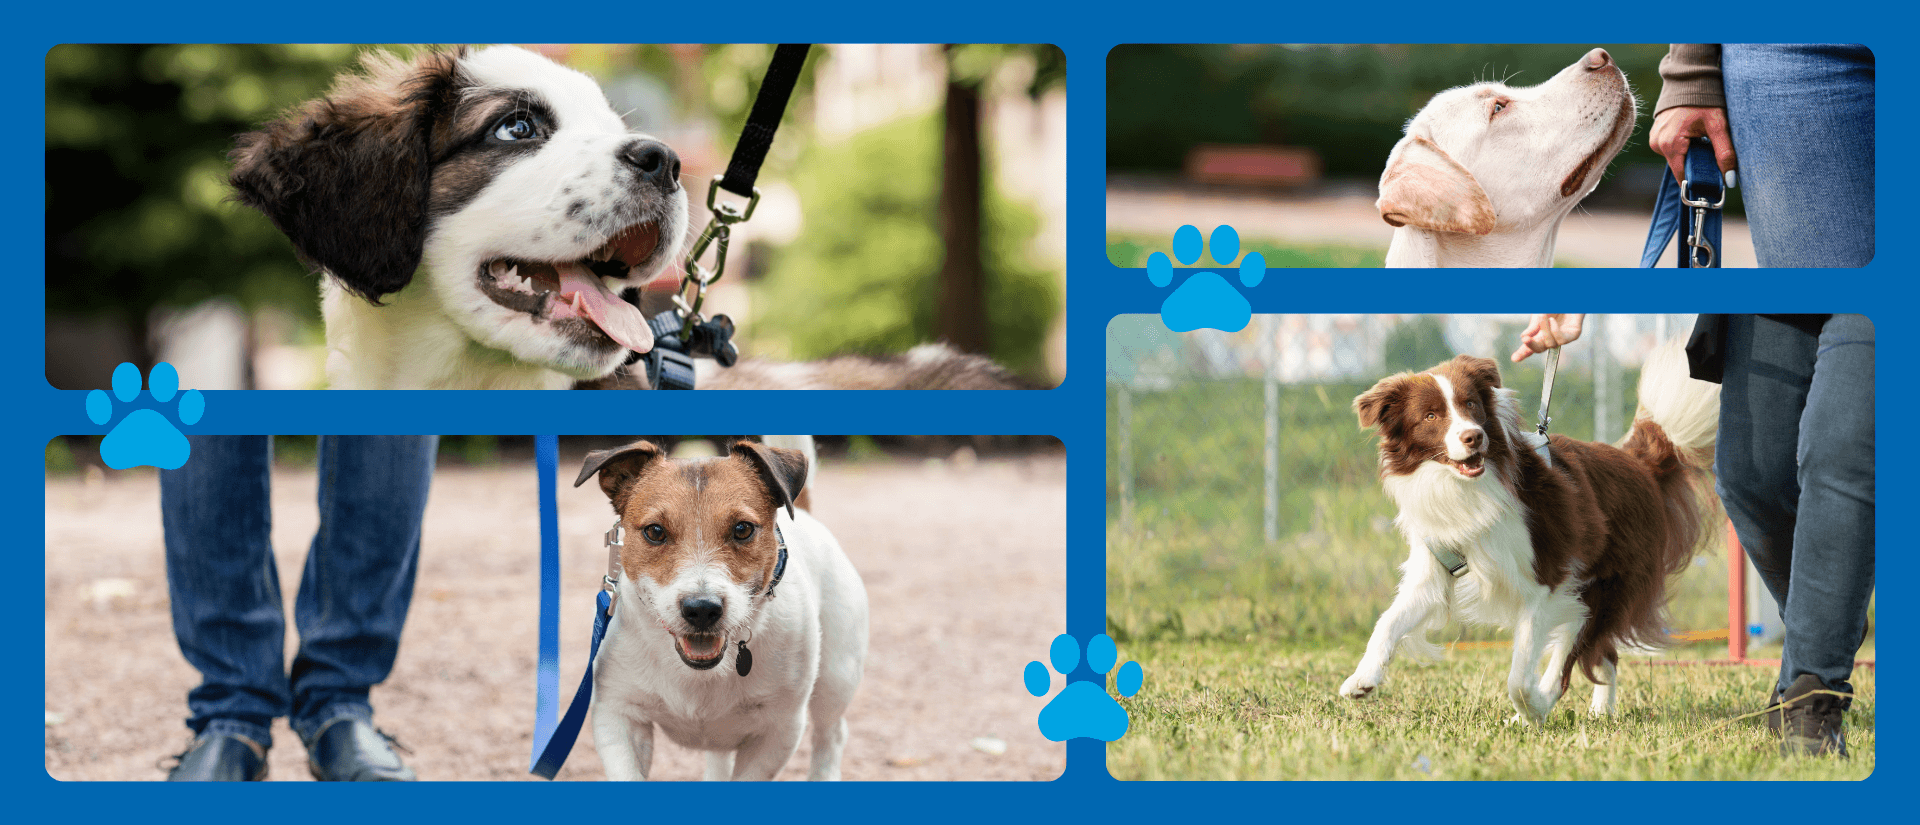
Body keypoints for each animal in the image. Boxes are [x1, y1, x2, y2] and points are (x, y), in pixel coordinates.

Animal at [572, 437, 867, 778]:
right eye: (655, 532)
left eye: (742, 529)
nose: (701, 609)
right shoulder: (618, 715)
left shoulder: (778, 730)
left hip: (836, 678)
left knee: (830, 736)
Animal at [1344, 341, 1720, 721]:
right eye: (1430, 416)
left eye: (1471, 405)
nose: (1473, 436)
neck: (1467, 488)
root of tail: (1637, 462)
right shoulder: (1434, 568)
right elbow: (1387, 622)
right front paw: (1363, 678)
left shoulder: (1546, 581)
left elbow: (1519, 674)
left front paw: (1532, 708)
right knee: (1603, 654)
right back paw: (1600, 711)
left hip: (1602, 587)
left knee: (1575, 656)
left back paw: (1543, 706)